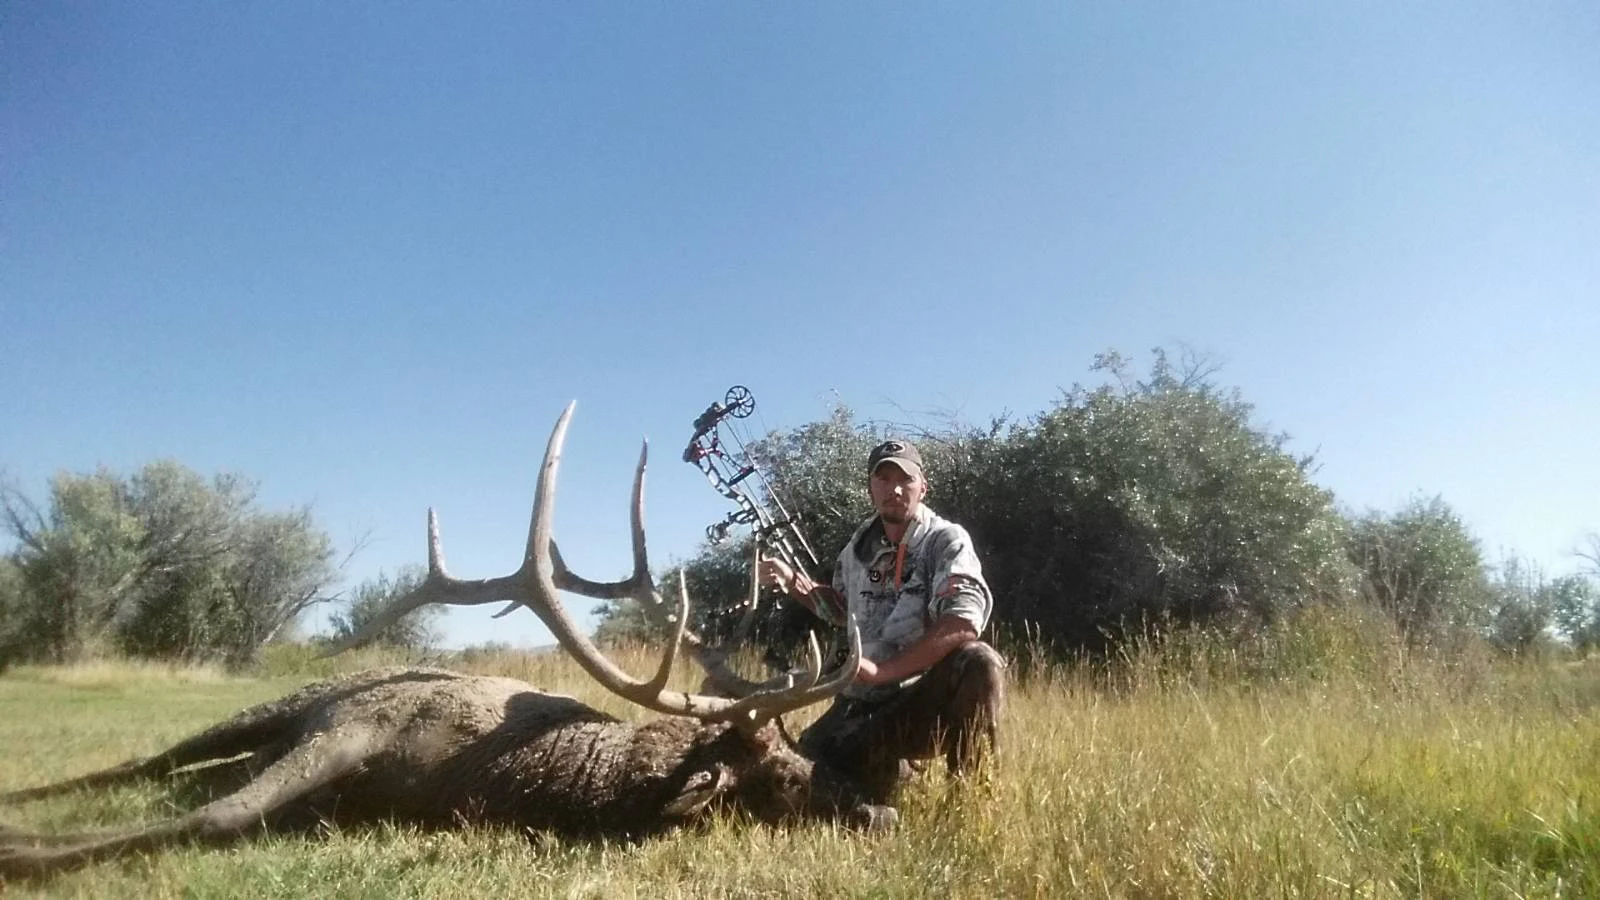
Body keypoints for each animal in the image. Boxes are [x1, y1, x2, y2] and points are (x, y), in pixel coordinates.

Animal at [0, 404, 893, 879]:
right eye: (783, 773)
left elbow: (226, 809)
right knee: (147, 762)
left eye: (798, 752)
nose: (879, 808)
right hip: (294, 698)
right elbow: (220, 816)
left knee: (178, 772)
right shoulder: (354, 723)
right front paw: (25, 852)